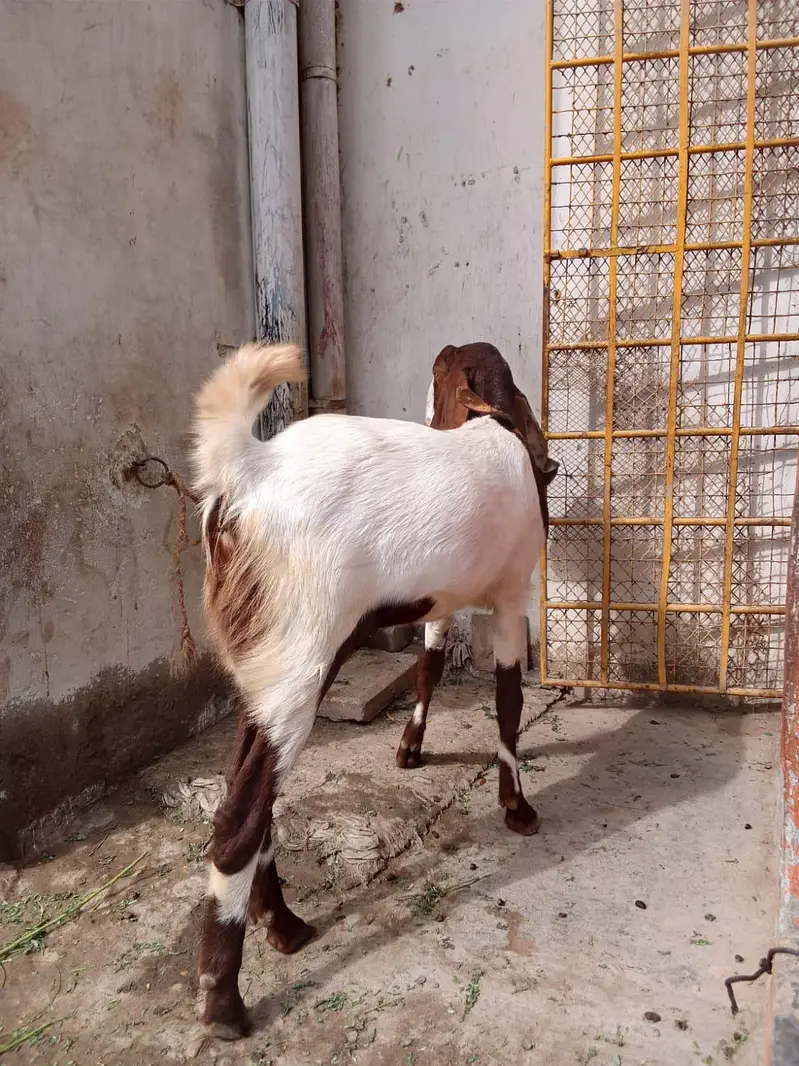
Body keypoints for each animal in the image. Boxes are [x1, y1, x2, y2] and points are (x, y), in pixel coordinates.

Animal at [191, 340, 557, 1039]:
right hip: (302, 656)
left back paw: (285, 926)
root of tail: (249, 471)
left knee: (247, 790)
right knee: (240, 815)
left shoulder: (444, 599)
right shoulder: (510, 595)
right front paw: (517, 807)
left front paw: (412, 749)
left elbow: (431, 662)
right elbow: (508, 700)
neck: (491, 431)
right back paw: (223, 1002)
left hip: (260, 667)